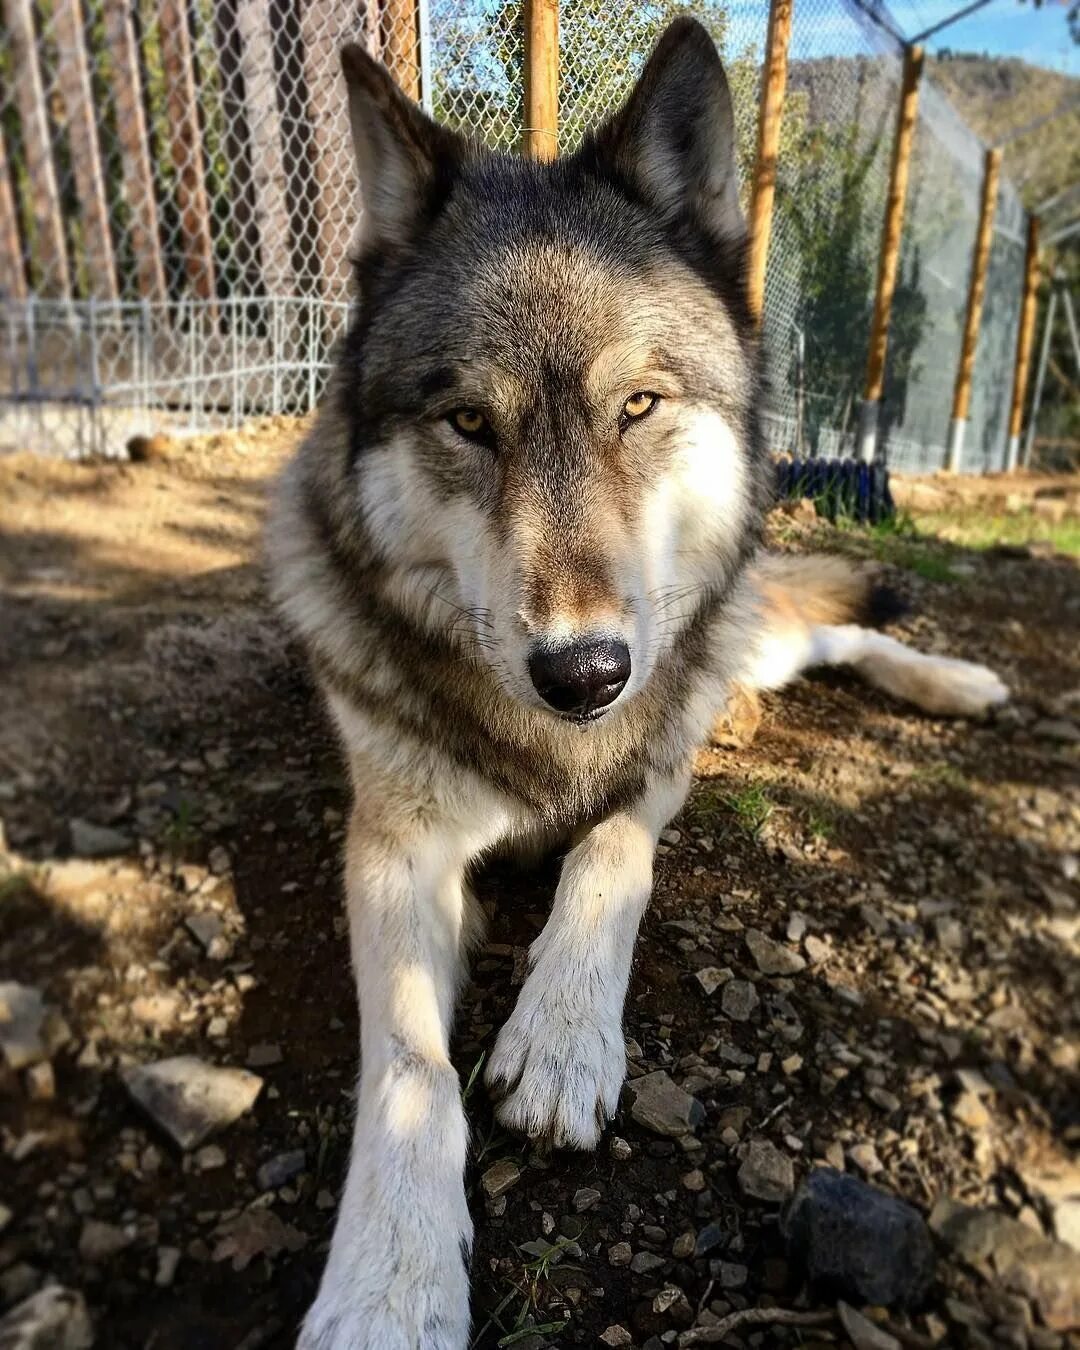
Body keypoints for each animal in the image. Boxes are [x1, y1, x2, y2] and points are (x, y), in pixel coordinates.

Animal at [267, 18, 1004, 1339]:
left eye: (640, 405)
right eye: (468, 423)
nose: (585, 674)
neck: (553, 747)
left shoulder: (652, 764)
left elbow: (610, 857)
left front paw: (563, 1041)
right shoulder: (394, 846)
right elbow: (409, 1070)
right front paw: (389, 1286)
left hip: (732, 638)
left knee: (837, 635)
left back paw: (962, 685)